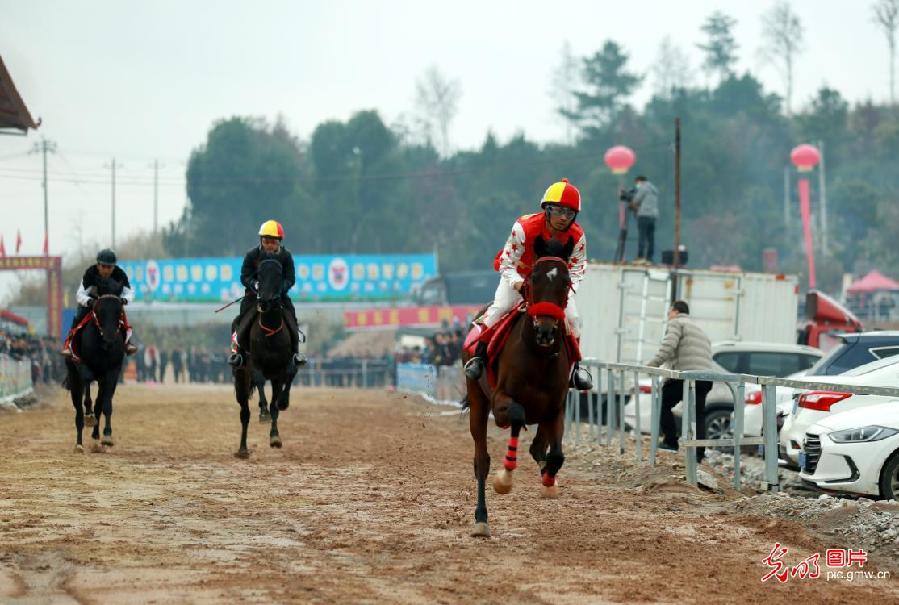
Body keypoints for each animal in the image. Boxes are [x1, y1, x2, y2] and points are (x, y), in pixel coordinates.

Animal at [65, 276, 127, 450]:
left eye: (119, 310)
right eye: (100, 309)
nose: (109, 339)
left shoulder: (112, 371)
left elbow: (105, 403)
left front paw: (106, 435)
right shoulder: (83, 366)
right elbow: (87, 389)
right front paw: (89, 415)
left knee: (100, 402)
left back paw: (95, 435)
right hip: (74, 377)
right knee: (78, 409)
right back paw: (79, 443)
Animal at [232, 255, 298, 458]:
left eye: (278, 275)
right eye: (259, 275)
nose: (264, 302)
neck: (270, 333)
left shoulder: (281, 370)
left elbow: (278, 400)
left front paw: (275, 436)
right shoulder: (255, 364)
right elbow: (260, 382)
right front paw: (263, 413)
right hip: (241, 378)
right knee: (244, 413)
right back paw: (243, 449)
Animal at [468, 234, 572, 536]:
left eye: (566, 282)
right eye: (533, 279)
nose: (545, 331)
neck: (538, 355)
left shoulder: (556, 407)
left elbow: (556, 454)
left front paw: (550, 481)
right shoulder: (500, 399)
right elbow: (516, 414)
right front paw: (505, 478)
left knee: (538, 447)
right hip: (477, 400)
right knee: (482, 460)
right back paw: (481, 518)